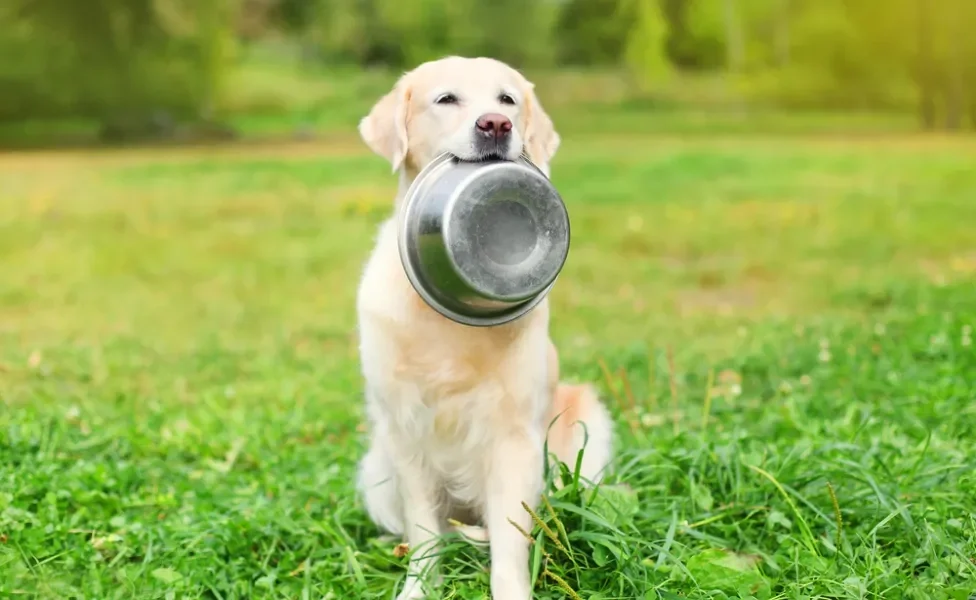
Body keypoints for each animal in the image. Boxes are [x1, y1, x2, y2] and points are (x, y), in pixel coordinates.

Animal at [352, 56, 608, 600]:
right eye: (447, 99)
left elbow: (510, 541)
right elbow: (424, 531)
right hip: (376, 469)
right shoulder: (406, 430)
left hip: (587, 423)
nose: (496, 124)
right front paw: (418, 586)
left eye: (507, 99)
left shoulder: (514, 437)